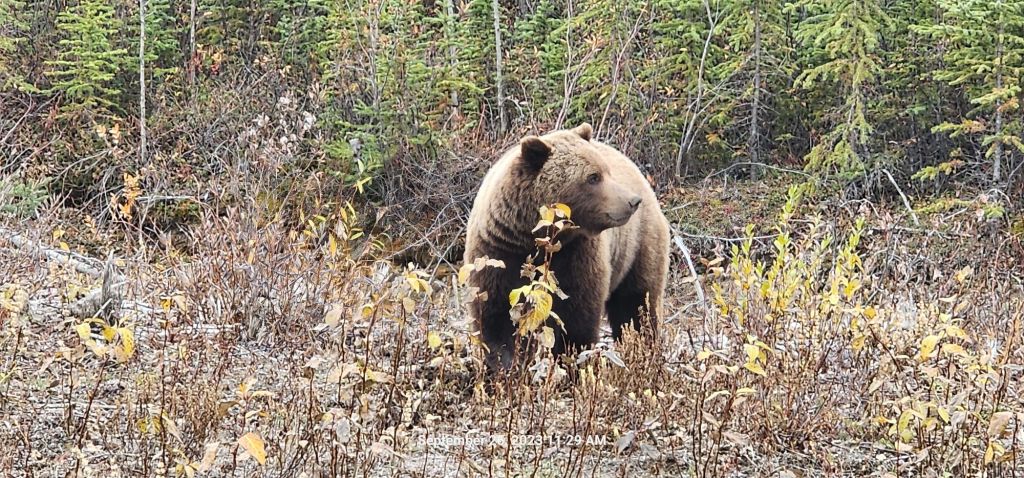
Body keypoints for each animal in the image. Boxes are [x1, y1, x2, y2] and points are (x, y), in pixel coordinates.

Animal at [463, 122, 671, 371]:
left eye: (605, 171)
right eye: (593, 177)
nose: (632, 201)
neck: (532, 239)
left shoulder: (576, 255)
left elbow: (575, 319)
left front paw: (569, 361)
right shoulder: (496, 253)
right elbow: (494, 316)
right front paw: (504, 365)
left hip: (638, 248)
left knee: (638, 305)